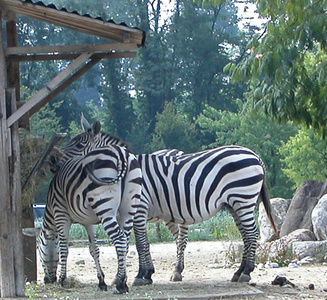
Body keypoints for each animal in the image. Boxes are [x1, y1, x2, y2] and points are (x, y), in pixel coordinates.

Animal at [35, 124, 142, 292]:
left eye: (39, 251)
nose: (48, 280)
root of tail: (122, 155)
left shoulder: (61, 215)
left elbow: (64, 248)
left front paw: (62, 279)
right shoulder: (89, 221)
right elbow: (94, 249)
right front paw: (101, 281)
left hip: (105, 208)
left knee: (119, 239)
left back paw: (120, 284)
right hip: (128, 209)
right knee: (124, 241)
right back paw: (122, 280)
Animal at [133, 147, 280, 286]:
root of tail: (254, 155)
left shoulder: (138, 208)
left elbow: (140, 244)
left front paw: (140, 275)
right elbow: (144, 243)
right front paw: (147, 274)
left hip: (242, 200)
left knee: (251, 234)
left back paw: (246, 272)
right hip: (233, 205)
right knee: (245, 236)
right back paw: (238, 272)